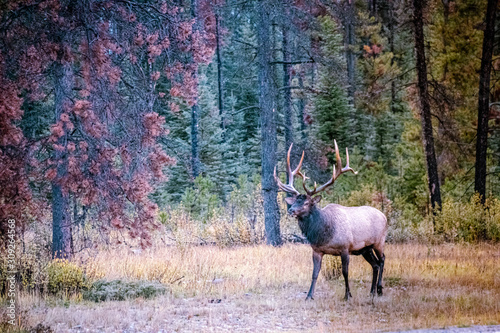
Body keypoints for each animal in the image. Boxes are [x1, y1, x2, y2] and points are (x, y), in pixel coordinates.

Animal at [274, 139, 386, 300]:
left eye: (306, 203)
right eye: (295, 201)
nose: (291, 210)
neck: (324, 233)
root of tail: (384, 216)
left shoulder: (345, 248)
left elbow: (345, 272)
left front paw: (348, 295)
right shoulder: (317, 250)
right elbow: (315, 273)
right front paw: (309, 296)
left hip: (379, 241)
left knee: (382, 260)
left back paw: (380, 289)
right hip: (366, 248)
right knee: (375, 264)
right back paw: (371, 292)